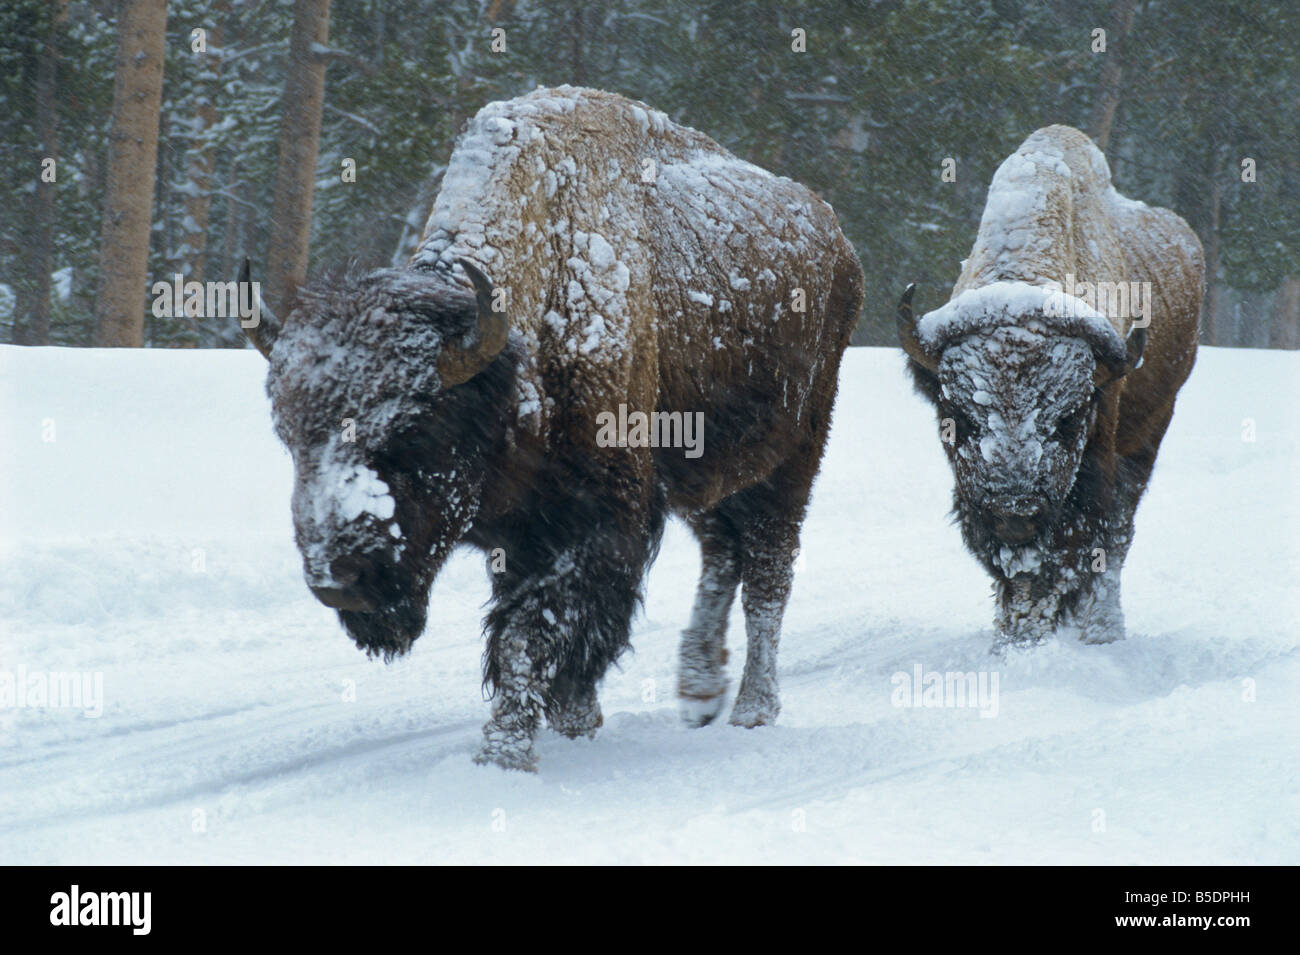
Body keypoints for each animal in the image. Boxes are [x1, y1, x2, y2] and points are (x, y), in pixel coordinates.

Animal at [241, 83, 863, 769]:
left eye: (410, 433)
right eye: (291, 437)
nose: (339, 581)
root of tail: (838, 241)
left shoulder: (598, 524)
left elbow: (527, 636)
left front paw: (504, 754)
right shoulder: (524, 533)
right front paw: (573, 719)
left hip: (793, 460)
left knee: (768, 577)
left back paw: (754, 708)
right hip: (705, 474)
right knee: (723, 556)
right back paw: (700, 691)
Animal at [899, 127, 1201, 647]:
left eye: (1068, 419)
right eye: (960, 418)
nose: (1015, 513)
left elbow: (1067, 555)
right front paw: (1009, 638)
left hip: (1151, 431)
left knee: (1119, 535)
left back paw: (1102, 629)